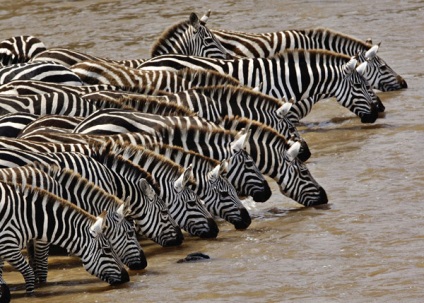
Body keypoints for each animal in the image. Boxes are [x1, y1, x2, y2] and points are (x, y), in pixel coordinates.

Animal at [0, 182, 129, 296]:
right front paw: (30, 296)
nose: (127, 278)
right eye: (107, 250)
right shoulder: (8, 245)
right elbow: (29, 274)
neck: (30, 218)